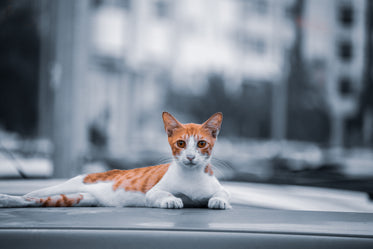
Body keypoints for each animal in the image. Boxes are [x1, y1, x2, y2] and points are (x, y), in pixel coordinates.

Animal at [0, 112, 231, 209]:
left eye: (201, 144)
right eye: (181, 144)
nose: (190, 157)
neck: (191, 176)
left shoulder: (216, 188)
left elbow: (221, 193)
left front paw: (218, 201)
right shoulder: (153, 192)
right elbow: (161, 194)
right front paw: (172, 199)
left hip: (78, 198)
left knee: (35, 200)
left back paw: (8, 201)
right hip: (71, 185)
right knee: (32, 194)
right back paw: (7, 198)